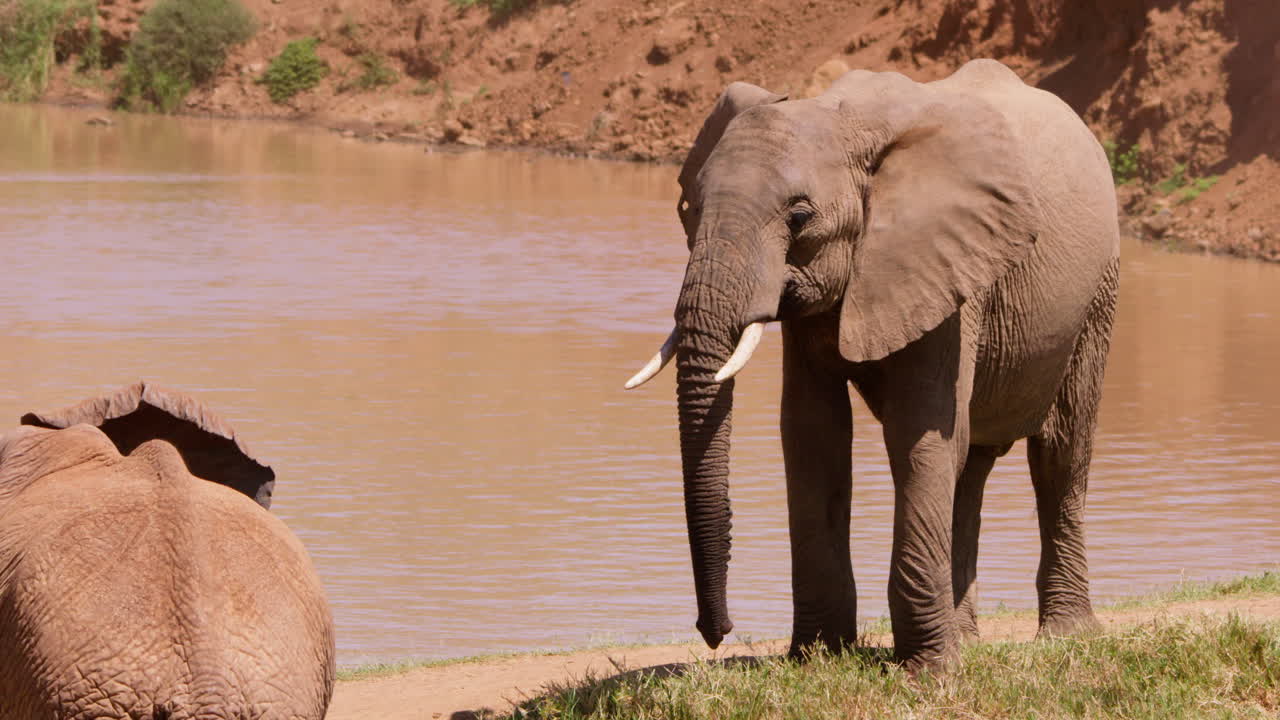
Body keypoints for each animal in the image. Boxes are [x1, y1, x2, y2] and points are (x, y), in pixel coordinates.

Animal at [626, 59, 1119, 669]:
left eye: (800, 216)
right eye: (688, 209)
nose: (717, 631)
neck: (840, 118)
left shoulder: (944, 266)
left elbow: (916, 432)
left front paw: (928, 674)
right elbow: (814, 434)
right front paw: (817, 656)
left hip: (1098, 288)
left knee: (1060, 451)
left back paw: (1066, 636)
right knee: (969, 465)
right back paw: (967, 638)